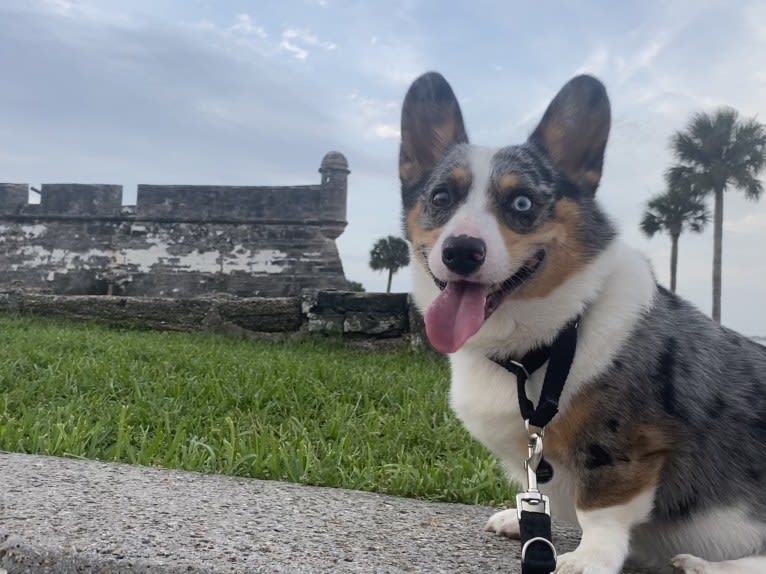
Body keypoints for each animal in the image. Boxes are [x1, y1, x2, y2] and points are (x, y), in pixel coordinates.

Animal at [400, 73, 766, 574]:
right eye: (441, 198)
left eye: (521, 202)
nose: (462, 251)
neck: (547, 343)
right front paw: (521, 519)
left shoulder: (624, 446)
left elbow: (601, 511)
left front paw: (587, 559)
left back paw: (700, 565)